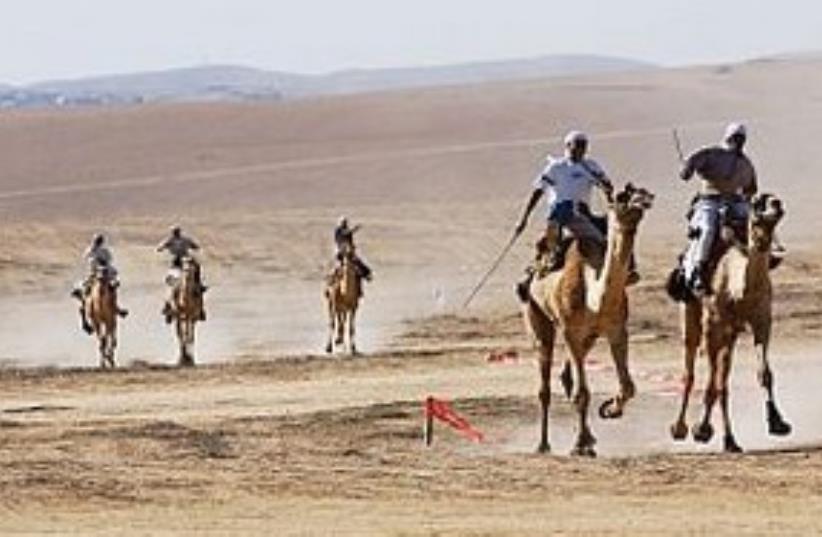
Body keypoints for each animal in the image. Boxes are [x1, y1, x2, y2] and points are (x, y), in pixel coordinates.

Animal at [524, 184, 652, 456]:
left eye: (641, 191)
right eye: (622, 197)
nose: (644, 200)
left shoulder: (617, 330)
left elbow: (628, 386)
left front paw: (610, 409)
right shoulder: (570, 330)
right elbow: (582, 393)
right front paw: (580, 444)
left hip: (590, 337)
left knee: (568, 375)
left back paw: (588, 436)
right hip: (537, 315)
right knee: (545, 384)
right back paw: (543, 444)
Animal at [672, 193, 796, 452]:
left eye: (774, 201)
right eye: (758, 206)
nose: (777, 204)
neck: (737, 289)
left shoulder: (762, 323)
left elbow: (764, 373)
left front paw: (777, 422)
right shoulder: (713, 327)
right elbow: (710, 383)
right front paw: (700, 430)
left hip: (731, 336)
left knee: (723, 381)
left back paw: (730, 440)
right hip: (690, 314)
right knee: (690, 370)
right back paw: (679, 428)